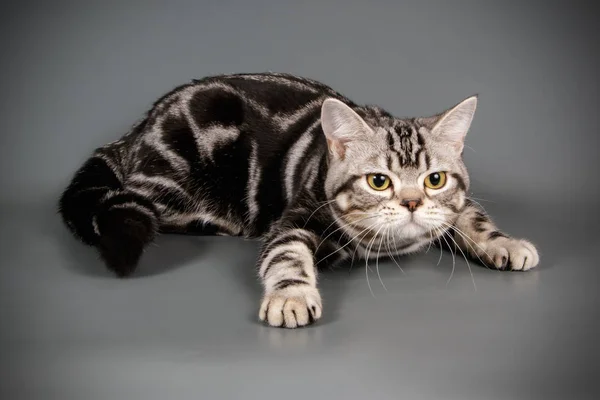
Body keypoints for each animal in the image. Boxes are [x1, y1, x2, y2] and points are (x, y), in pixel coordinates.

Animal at [59, 72, 540, 328]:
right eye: (379, 182)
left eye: (434, 180)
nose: (411, 204)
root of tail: (136, 131)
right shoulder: (294, 220)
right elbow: (287, 254)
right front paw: (291, 296)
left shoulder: (454, 206)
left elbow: (472, 215)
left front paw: (505, 242)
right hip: (171, 183)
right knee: (132, 198)